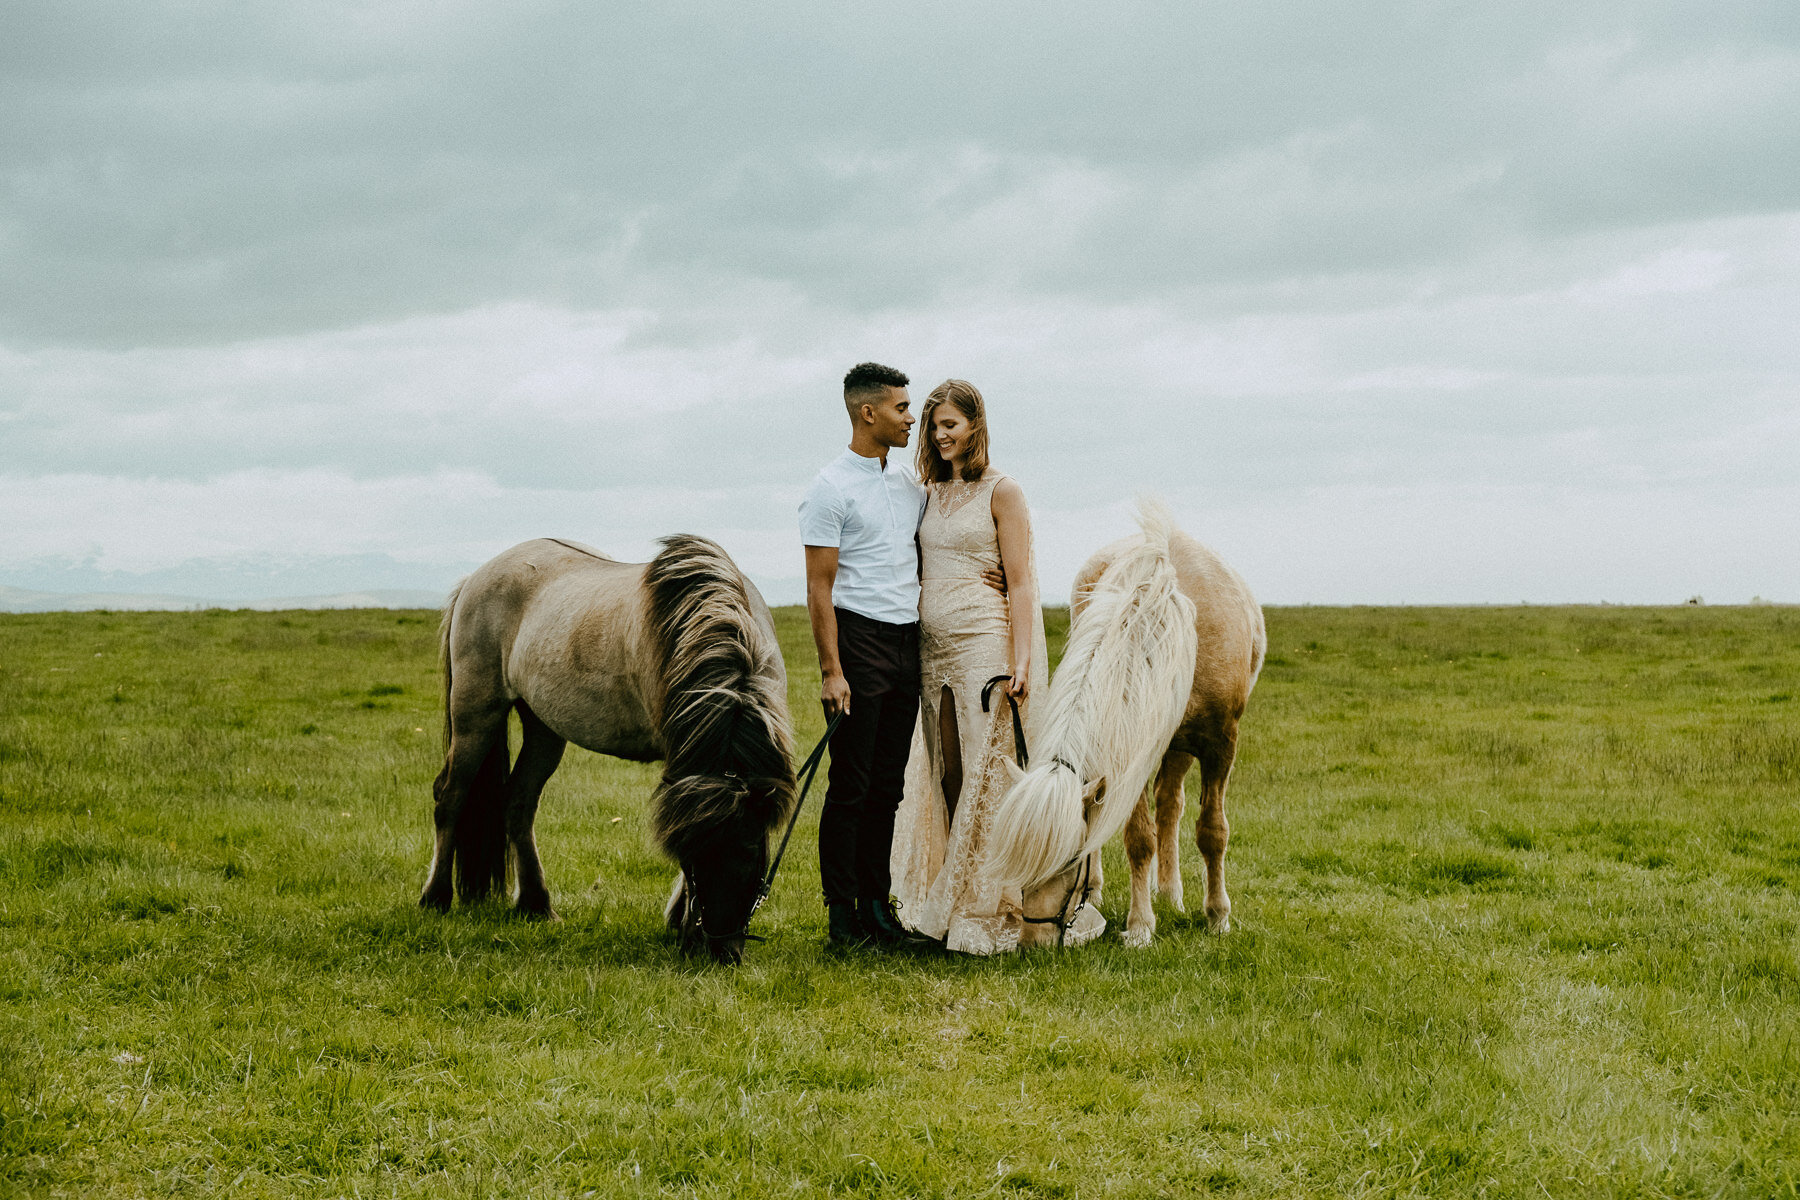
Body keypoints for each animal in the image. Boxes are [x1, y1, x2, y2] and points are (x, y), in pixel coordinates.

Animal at [421, 536, 795, 964]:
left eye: (753, 853)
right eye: (692, 856)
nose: (721, 951)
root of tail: (474, 579)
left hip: (544, 728)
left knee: (518, 802)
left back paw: (536, 904)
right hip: (476, 713)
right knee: (450, 796)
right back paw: (436, 897)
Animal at [986, 503, 1267, 949]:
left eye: (1070, 858)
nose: (1032, 943)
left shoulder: (1219, 742)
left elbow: (1212, 831)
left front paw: (1217, 916)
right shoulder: (1129, 751)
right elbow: (1138, 839)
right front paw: (1140, 926)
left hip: (1179, 746)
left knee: (1170, 806)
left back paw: (1170, 894)